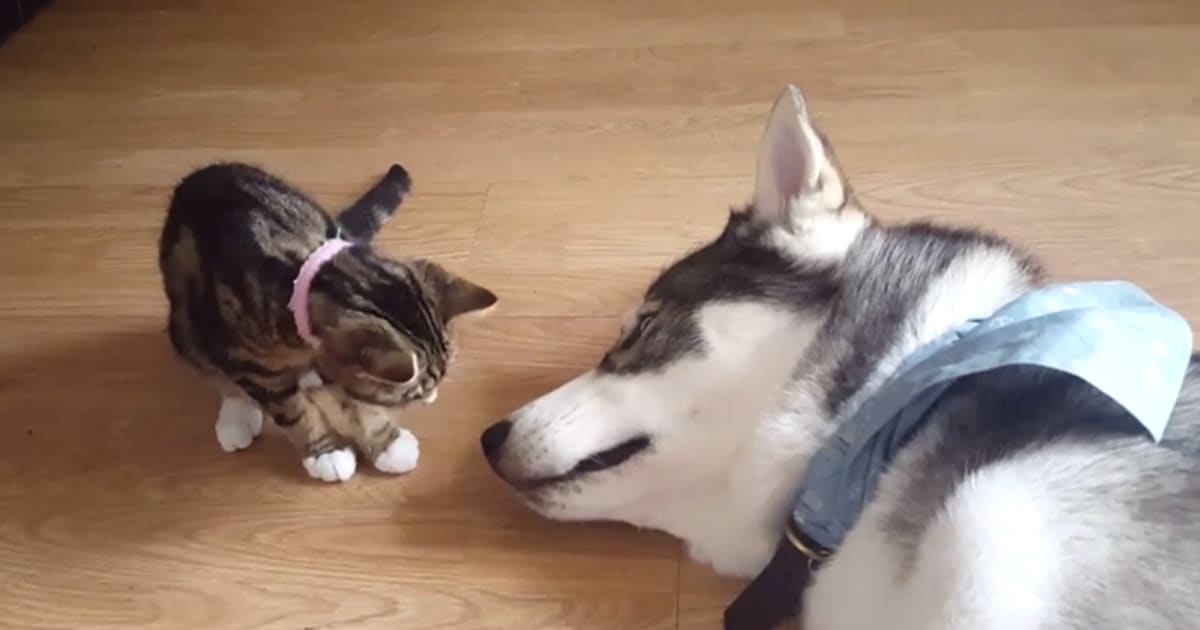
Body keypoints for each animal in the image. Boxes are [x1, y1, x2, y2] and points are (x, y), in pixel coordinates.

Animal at [159, 160, 496, 482]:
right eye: (411, 394)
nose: (430, 397)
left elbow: (357, 405)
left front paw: (386, 443)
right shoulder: (248, 359)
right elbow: (293, 410)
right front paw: (327, 451)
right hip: (186, 330)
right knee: (217, 373)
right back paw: (237, 414)